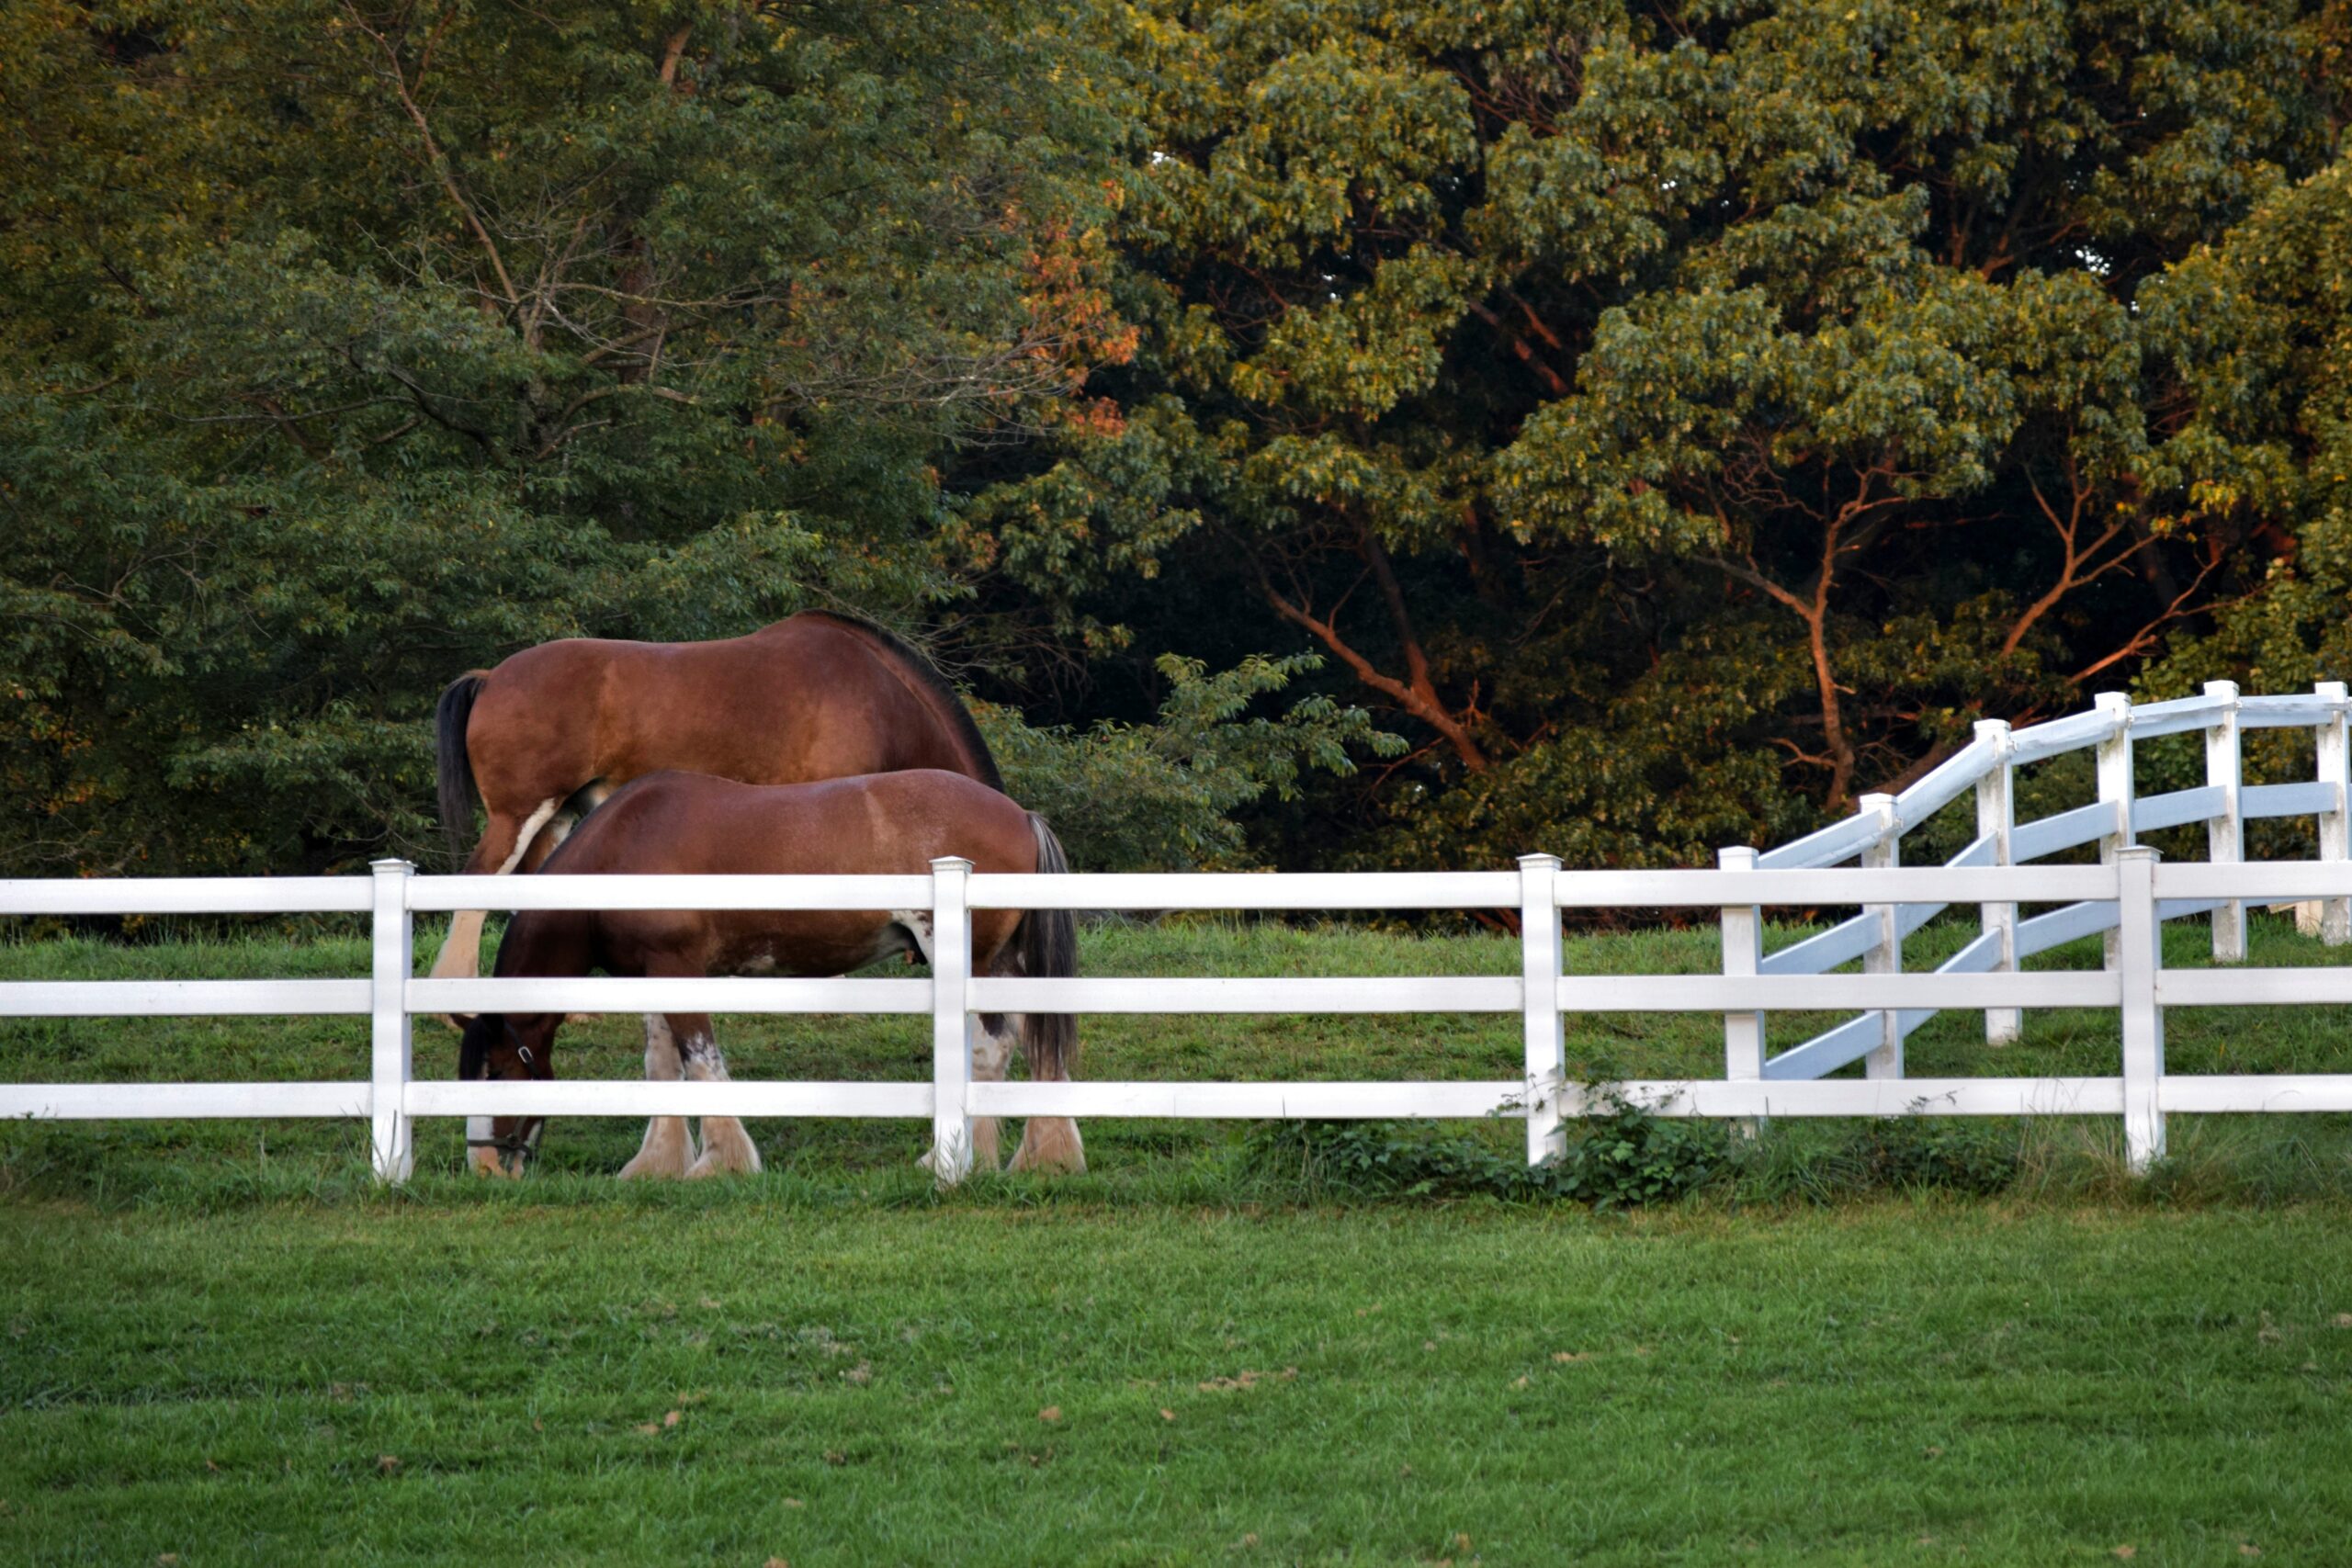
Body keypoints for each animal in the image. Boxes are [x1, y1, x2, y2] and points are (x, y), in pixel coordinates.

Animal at [456, 766, 1081, 1184]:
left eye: (496, 1072)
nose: (483, 1163)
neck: (623, 850)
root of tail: (1019, 814)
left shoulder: (680, 971)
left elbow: (701, 1062)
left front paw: (722, 1163)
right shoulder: (653, 975)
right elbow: (662, 1067)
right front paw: (658, 1163)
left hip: (969, 961)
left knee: (991, 1045)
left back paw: (958, 1158)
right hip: (1005, 965)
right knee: (1033, 1044)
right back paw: (1042, 1154)